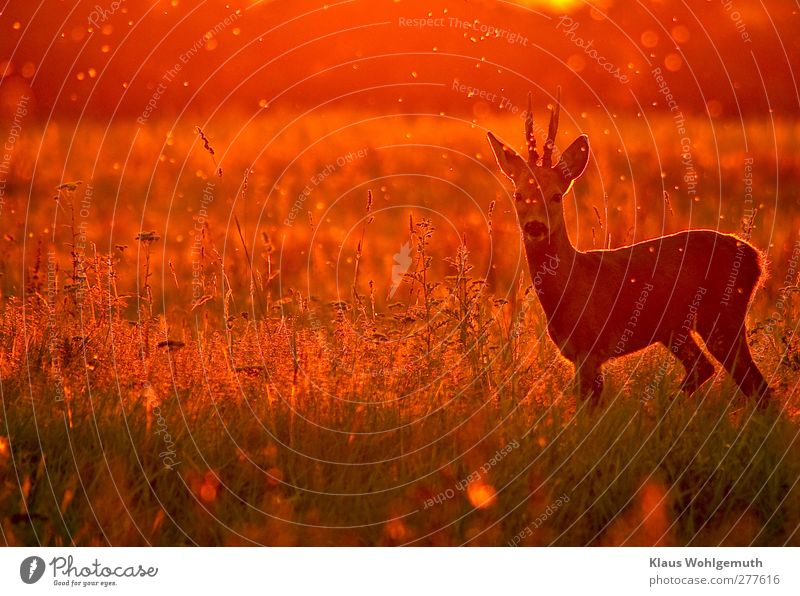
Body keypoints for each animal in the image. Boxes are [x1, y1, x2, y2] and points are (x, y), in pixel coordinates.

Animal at [484, 89, 772, 406]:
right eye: (518, 194)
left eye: (556, 195)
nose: (535, 227)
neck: (571, 284)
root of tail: (757, 258)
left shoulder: (590, 350)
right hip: (677, 328)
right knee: (707, 368)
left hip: (723, 313)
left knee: (757, 385)